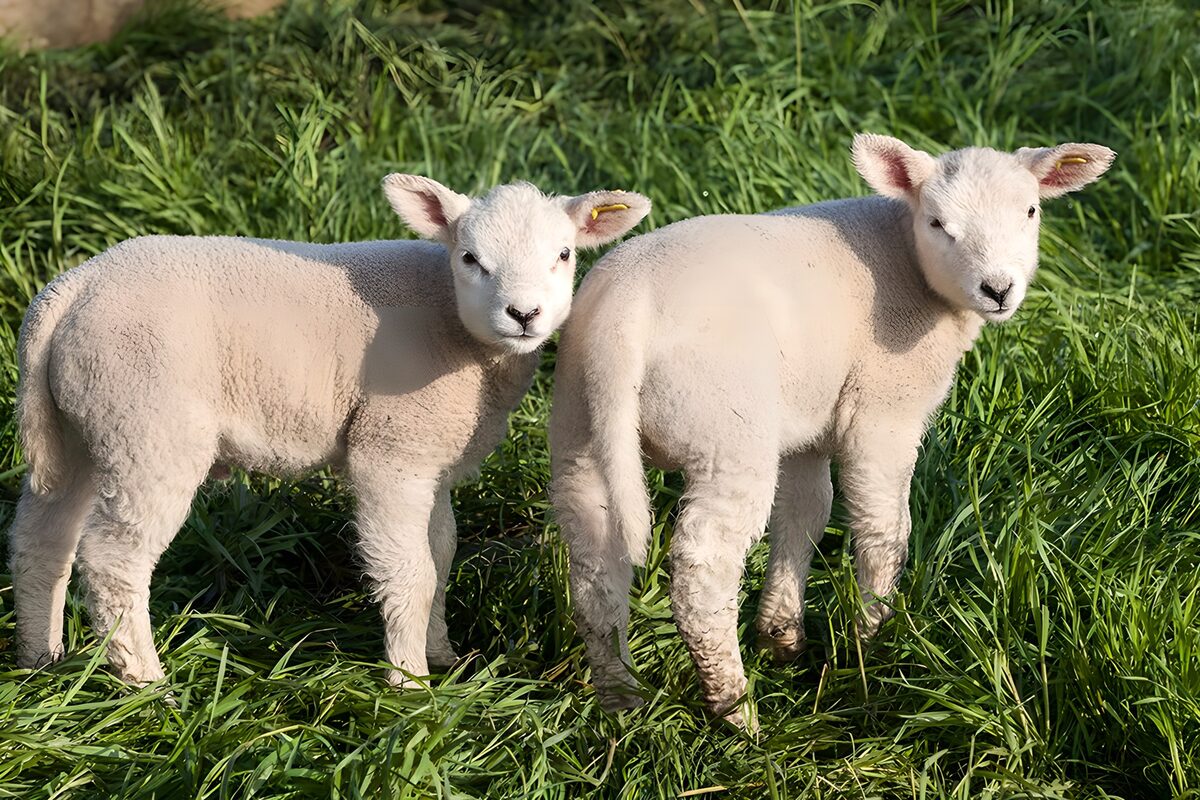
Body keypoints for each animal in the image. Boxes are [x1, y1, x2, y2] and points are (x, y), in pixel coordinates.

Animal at [8, 175, 651, 688]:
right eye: (470, 258)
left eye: (564, 254)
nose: (524, 315)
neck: (458, 331)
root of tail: (67, 293)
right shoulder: (391, 450)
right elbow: (411, 572)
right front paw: (410, 685)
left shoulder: (431, 453)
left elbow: (441, 553)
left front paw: (442, 655)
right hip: (148, 425)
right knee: (113, 560)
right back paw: (146, 683)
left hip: (86, 424)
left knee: (42, 537)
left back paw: (41, 659)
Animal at [549, 134, 1115, 726]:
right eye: (938, 223)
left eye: (1030, 212)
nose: (998, 288)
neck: (907, 257)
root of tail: (624, 317)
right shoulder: (883, 409)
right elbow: (884, 529)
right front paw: (871, 642)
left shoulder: (807, 423)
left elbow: (805, 516)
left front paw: (782, 637)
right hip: (725, 427)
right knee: (704, 567)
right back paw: (736, 708)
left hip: (579, 423)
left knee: (594, 568)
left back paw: (620, 700)